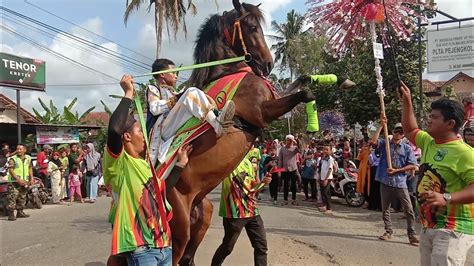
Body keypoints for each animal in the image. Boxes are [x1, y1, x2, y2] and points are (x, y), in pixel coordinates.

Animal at [167, 1, 314, 264]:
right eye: (252, 27)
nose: (268, 65)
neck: (230, 72)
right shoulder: (263, 112)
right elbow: (303, 94)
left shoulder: (274, 99)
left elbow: (298, 84)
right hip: (180, 229)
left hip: (201, 216)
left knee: (189, 257)